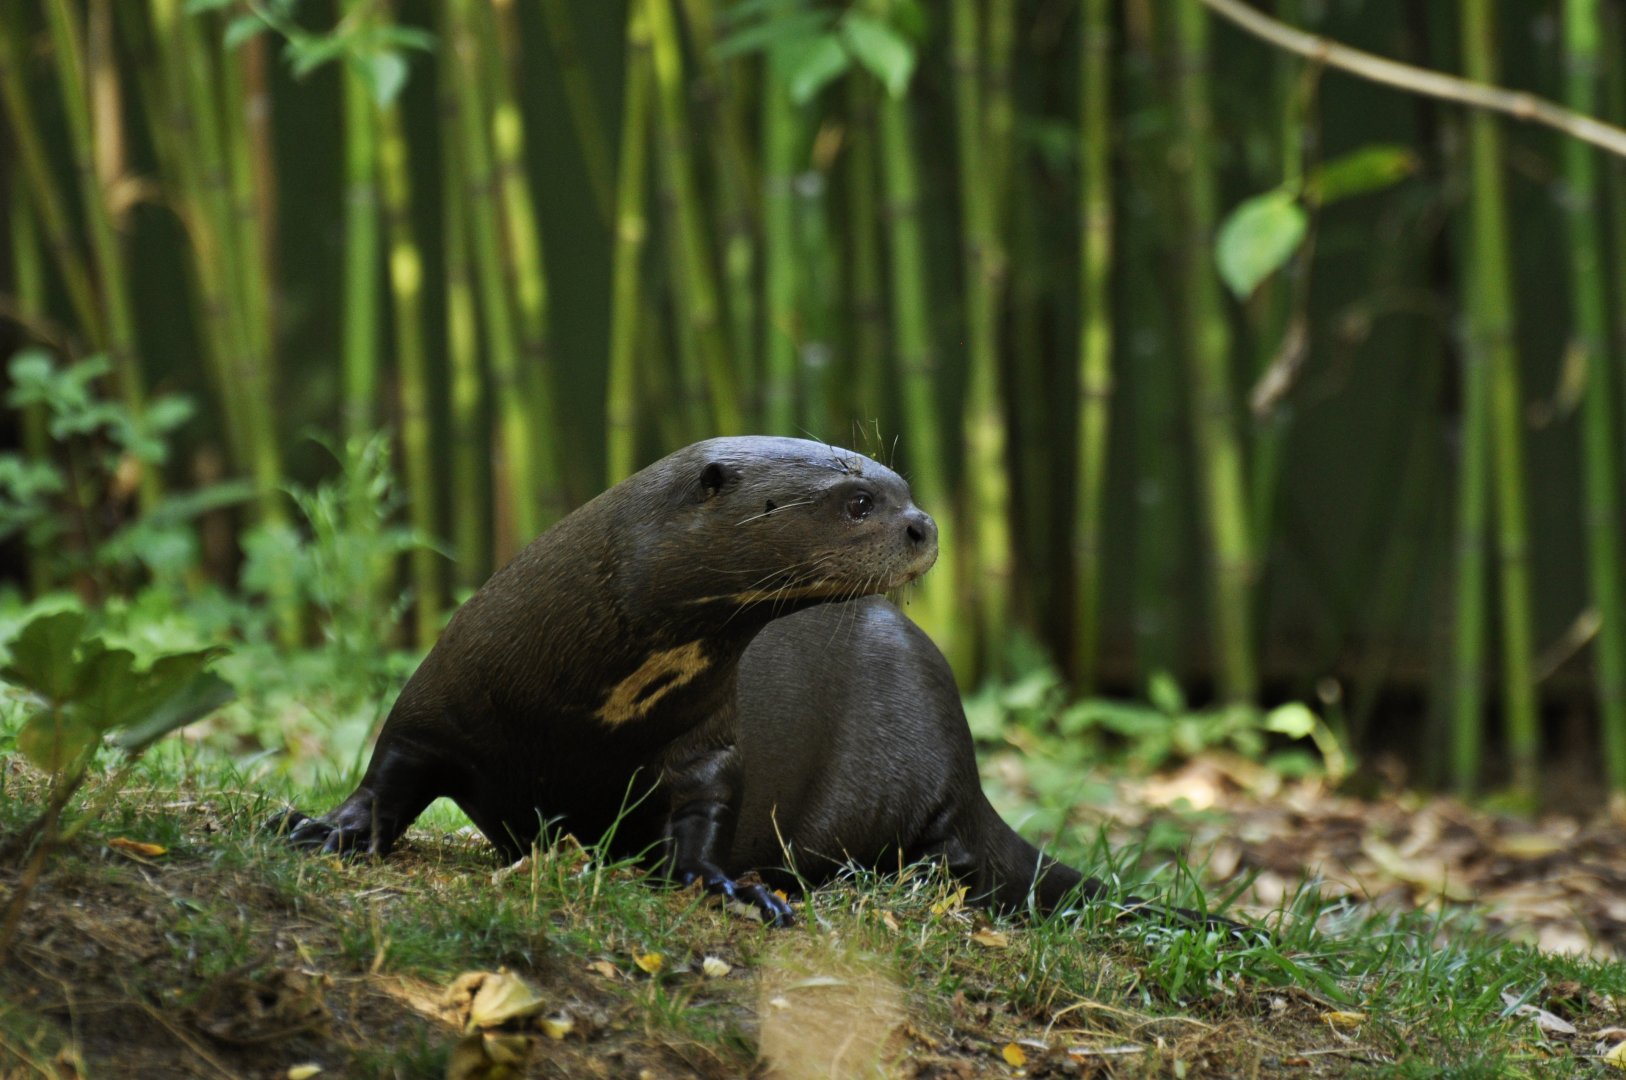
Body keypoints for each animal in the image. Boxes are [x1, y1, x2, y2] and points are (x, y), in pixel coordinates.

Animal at [274, 437, 937, 924]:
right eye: (859, 501)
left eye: (904, 489)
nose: (924, 525)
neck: (587, 707)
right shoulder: (442, 698)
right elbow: (389, 774)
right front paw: (322, 830)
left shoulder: (709, 745)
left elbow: (706, 813)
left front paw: (732, 889)